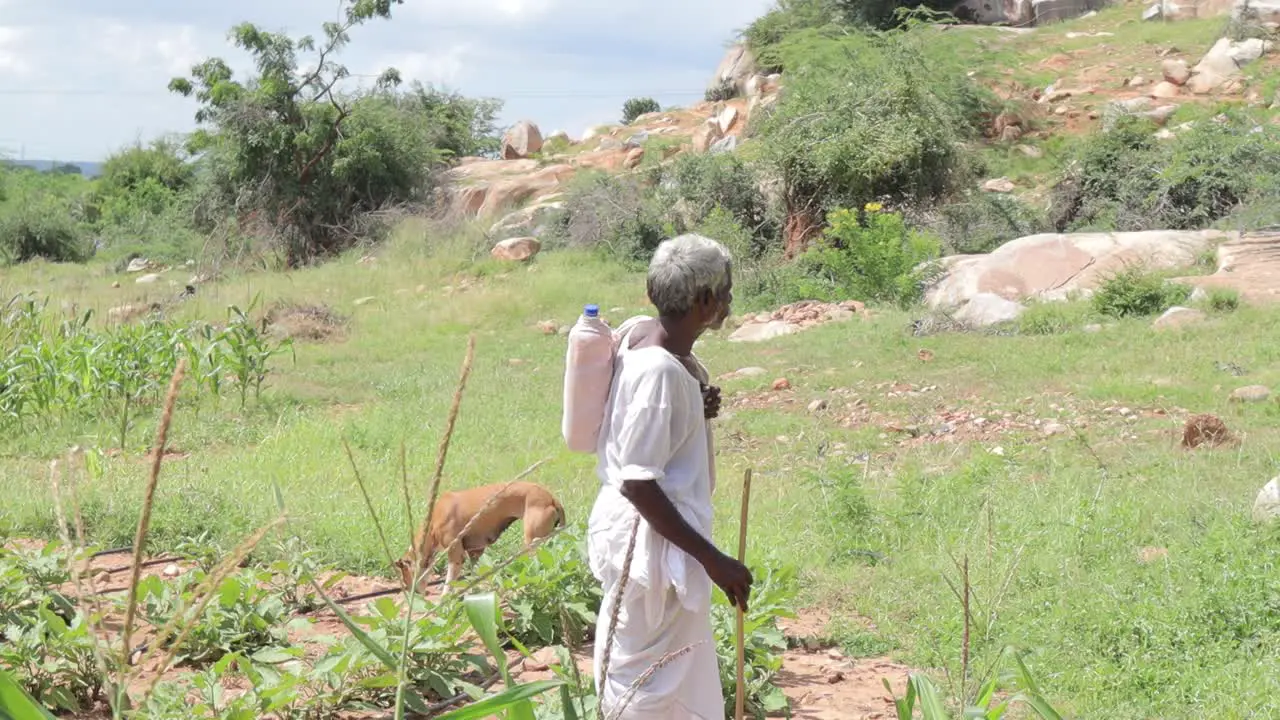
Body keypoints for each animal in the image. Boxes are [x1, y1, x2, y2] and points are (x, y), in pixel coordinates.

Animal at [394, 479, 565, 591]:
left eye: (404, 573)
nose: (411, 591)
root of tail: (551, 498)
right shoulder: (474, 552)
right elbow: (473, 577)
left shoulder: (456, 556)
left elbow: (448, 585)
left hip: (532, 543)